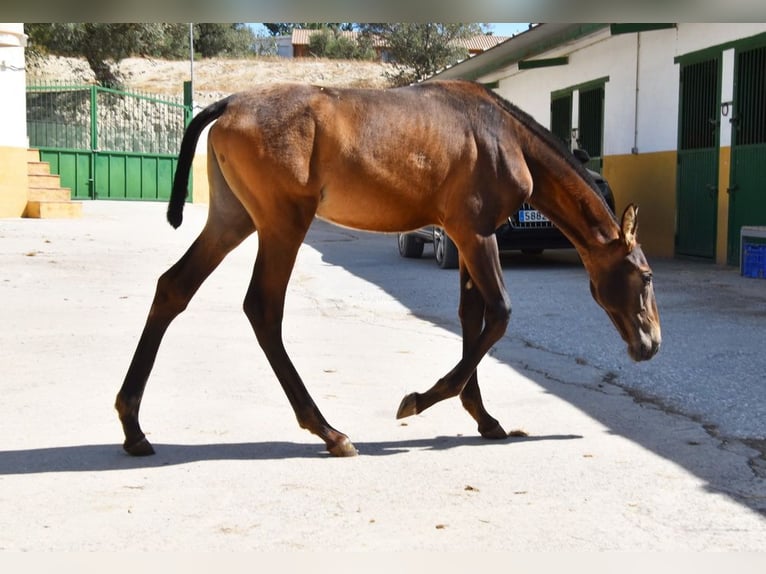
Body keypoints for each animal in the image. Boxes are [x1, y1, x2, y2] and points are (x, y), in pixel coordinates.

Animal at [117, 80, 664, 460]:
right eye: (645, 276)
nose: (651, 344)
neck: (501, 134)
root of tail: (228, 104)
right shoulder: (476, 234)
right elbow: (499, 316)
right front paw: (420, 400)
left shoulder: (464, 238)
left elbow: (471, 320)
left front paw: (484, 419)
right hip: (281, 225)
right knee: (263, 309)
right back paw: (329, 432)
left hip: (232, 220)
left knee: (174, 288)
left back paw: (133, 427)